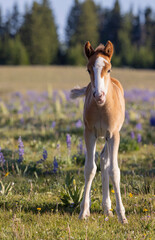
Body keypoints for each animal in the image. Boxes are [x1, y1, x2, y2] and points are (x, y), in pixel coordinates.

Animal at [71, 40, 128, 223]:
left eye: (108, 69)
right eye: (89, 69)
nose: (99, 96)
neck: (103, 108)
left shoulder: (114, 135)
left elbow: (115, 171)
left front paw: (122, 216)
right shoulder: (89, 133)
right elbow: (89, 169)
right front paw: (83, 212)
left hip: (109, 137)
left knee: (105, 161)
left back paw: (108, 208)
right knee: (102, 161)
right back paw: (104, 208)